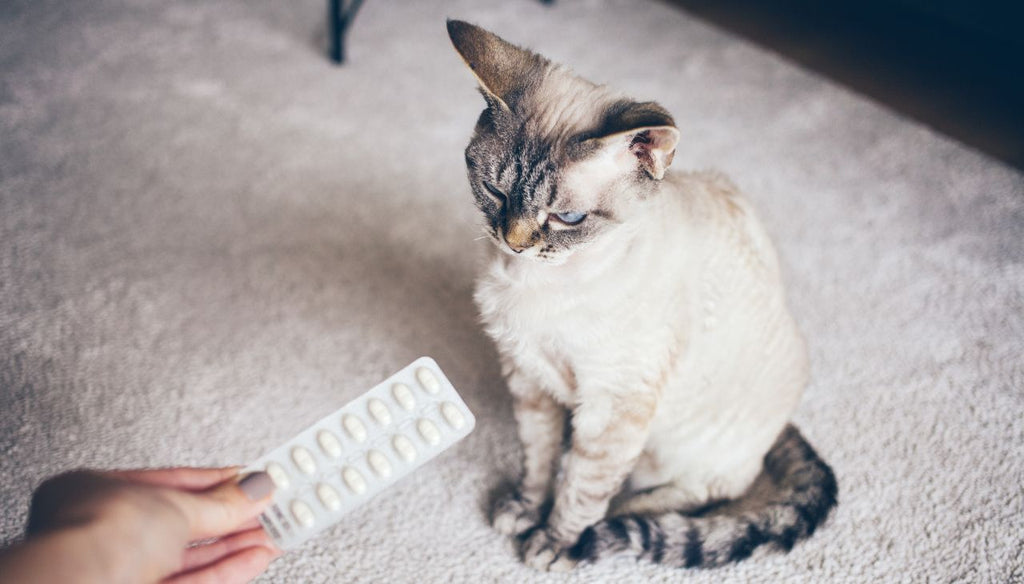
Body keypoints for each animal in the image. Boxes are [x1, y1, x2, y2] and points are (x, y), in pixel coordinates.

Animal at [448, 20, 839, 569]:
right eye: (495, 192)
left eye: (568, 218)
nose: (515, 242)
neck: (534, 283)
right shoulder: (527, 377)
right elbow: (538, 459)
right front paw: (525, 508)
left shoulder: (613, 409)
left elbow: (581, 490)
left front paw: (555, 542)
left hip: (675, 451)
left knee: (695, 497)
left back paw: (619, 515)